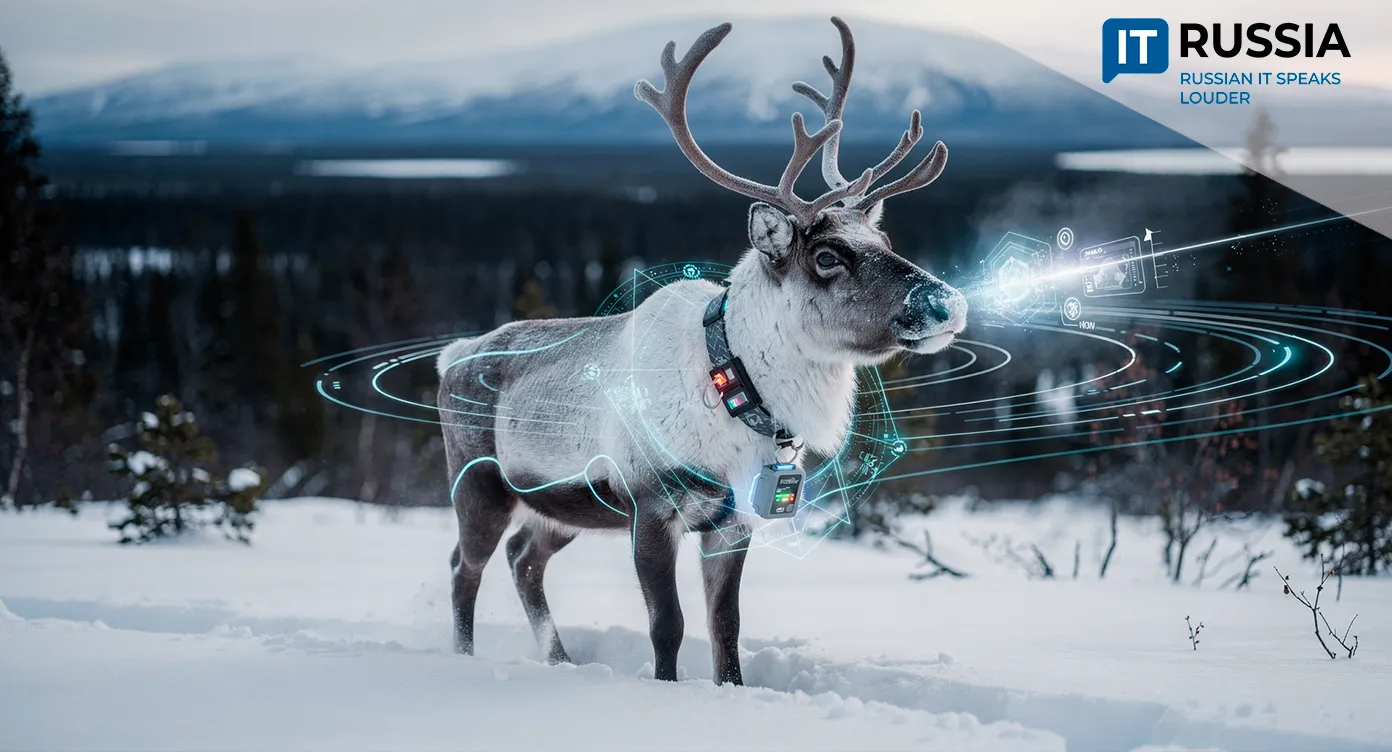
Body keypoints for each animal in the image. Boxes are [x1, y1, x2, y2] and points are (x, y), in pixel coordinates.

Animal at [436, 17, 967, 686]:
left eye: (885, 239)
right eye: (827, 257)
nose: (949, 303)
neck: (736, 387)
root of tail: (452, 354)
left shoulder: (731, 521)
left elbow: (725, 625)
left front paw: (730, 689)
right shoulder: (650, 507)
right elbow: (669, 624)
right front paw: (669, 688)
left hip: (563, 508)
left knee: (523, 558)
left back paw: (560, 658)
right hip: (480, 484)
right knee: (465, 566)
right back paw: (464, 657)